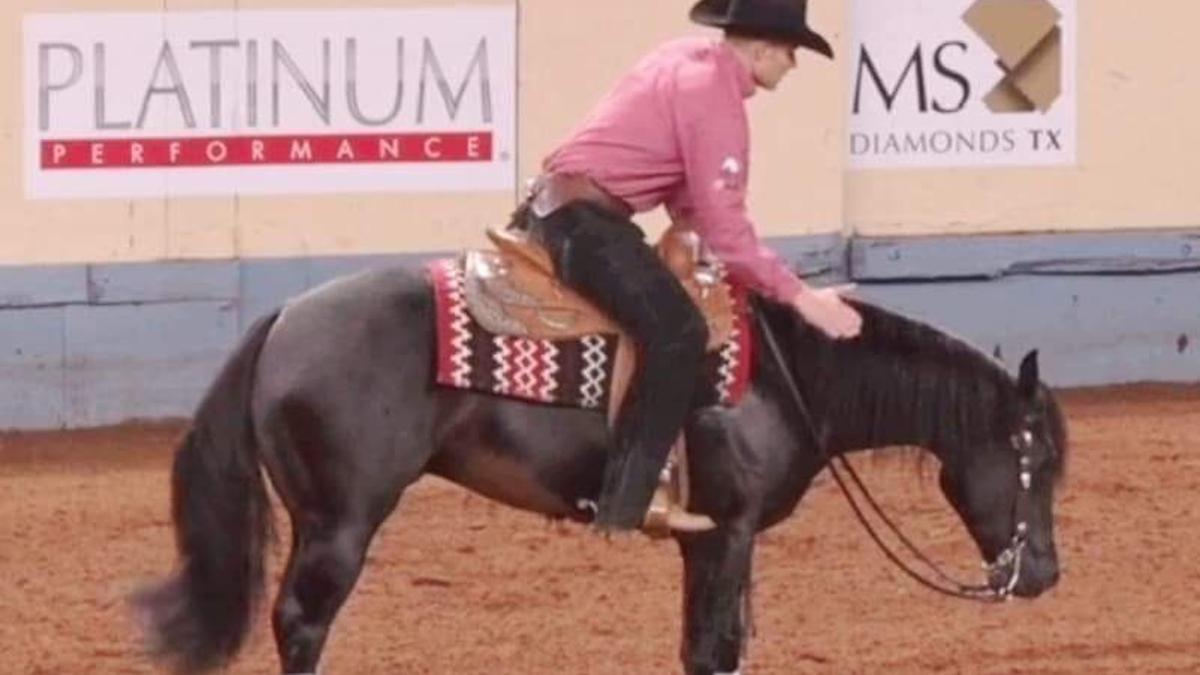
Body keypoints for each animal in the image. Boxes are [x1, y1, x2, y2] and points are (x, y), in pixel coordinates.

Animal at [134, 260, 1068, 675]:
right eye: (1036, 461)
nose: (1045, 575)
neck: (784, 374)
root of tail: (284, 318)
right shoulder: (725, 532)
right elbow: (712, 649)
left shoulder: (712, 541)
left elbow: (708, 646)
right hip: (339, 525)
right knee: (302, 623)